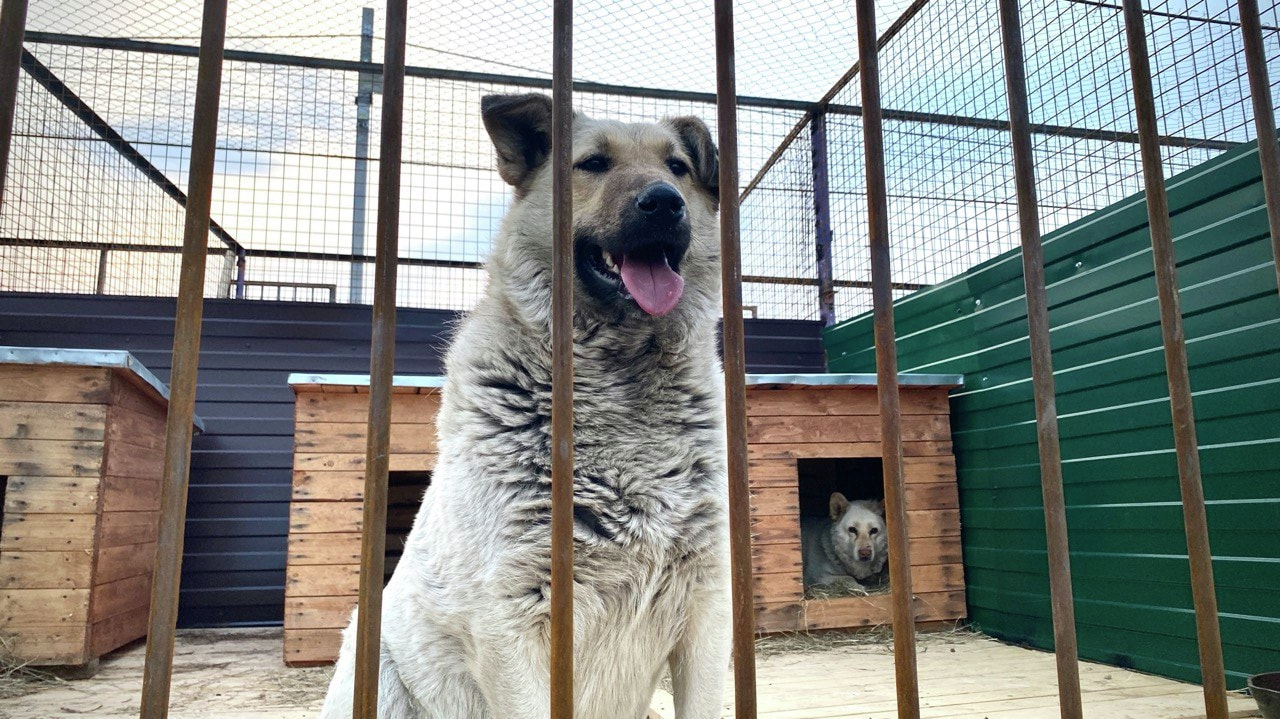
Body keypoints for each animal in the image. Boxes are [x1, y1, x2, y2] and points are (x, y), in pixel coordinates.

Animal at [320, 95, 737, 716]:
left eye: (678, 167)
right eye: (593, 163)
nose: (665, 203)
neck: (619, 373)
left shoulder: (706, 611)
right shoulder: (509, 623)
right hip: (377, 667)